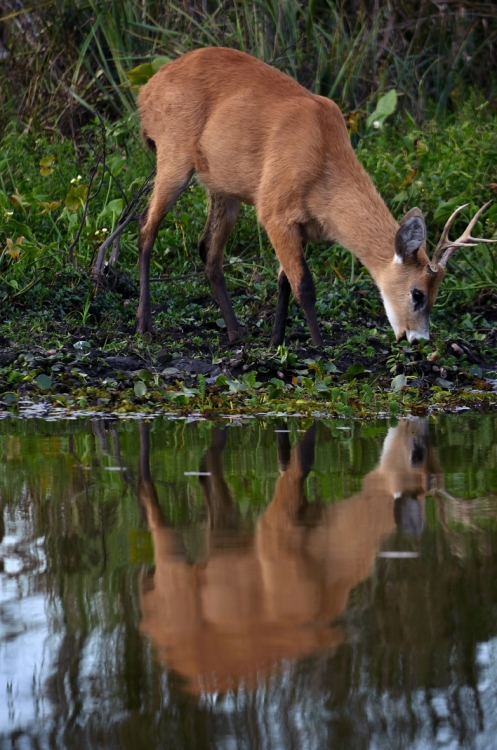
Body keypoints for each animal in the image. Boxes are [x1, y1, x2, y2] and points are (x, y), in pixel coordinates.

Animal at [129, 48, 496, 348]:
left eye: (436, 294)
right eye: (417, 293)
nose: (418, 338)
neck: (324, 169)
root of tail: (147, 90)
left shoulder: (300, 226)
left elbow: (284, 282)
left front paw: (276, 340)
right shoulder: (273, 212)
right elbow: (304, 284)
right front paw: (319, 347)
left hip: (221, 187)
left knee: (208, 251)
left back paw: (235, 333)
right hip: (174, 158)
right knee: (146, 228)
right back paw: (144, 325)